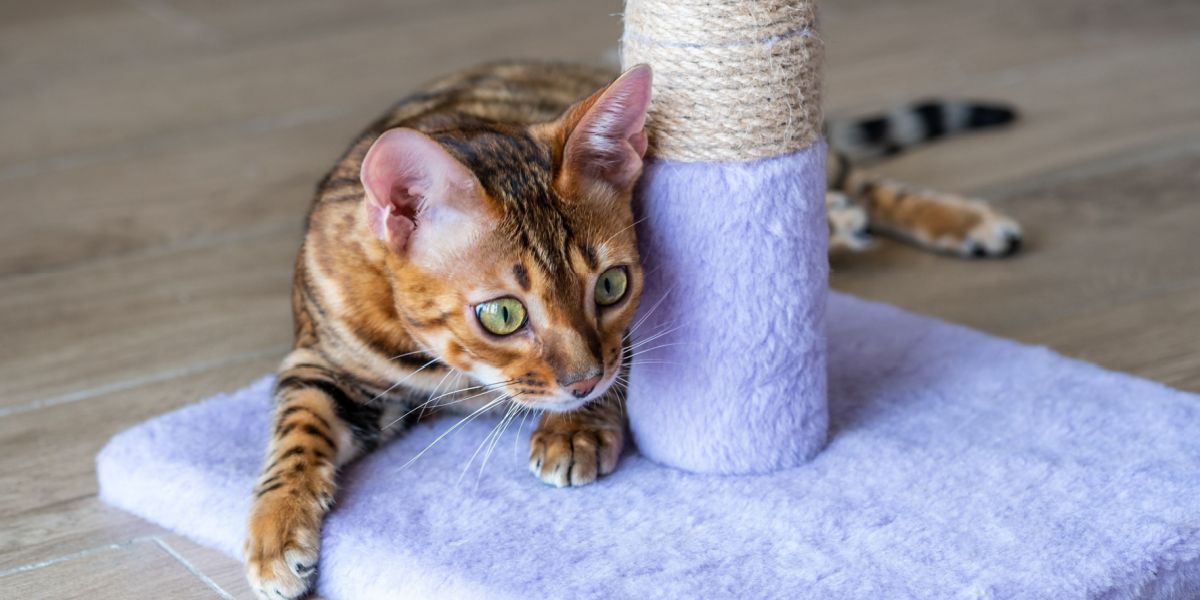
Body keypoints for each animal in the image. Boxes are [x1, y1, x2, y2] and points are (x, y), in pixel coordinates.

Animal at [241, 59, 1022, 595]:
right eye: (502, 313)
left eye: (612, 284)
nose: (582, 379)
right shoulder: (322, 358)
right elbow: (296, 430)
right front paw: (275, 533)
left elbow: (627, 364)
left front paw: (578, 428)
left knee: (855, 176)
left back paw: (949, 219)